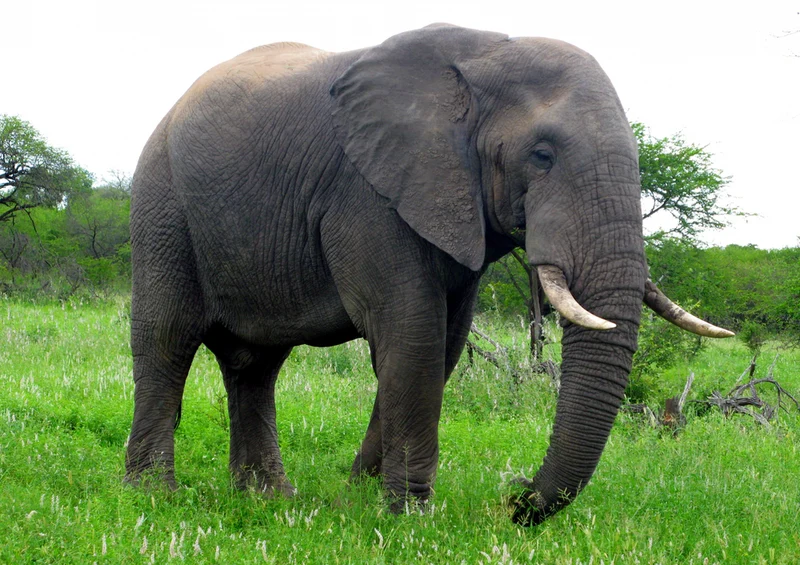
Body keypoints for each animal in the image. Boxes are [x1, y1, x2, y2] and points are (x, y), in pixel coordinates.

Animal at [125, 24, 732, 526]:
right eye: (541, 155)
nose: (515, 496)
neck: (483, 58)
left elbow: (442, 346)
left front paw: (358, 499)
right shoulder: (367, 193)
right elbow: (412, 331)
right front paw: (410, 521)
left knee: (255, 365)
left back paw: (269, 499)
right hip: (162, 203)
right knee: (166, 340)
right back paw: (153, 498)